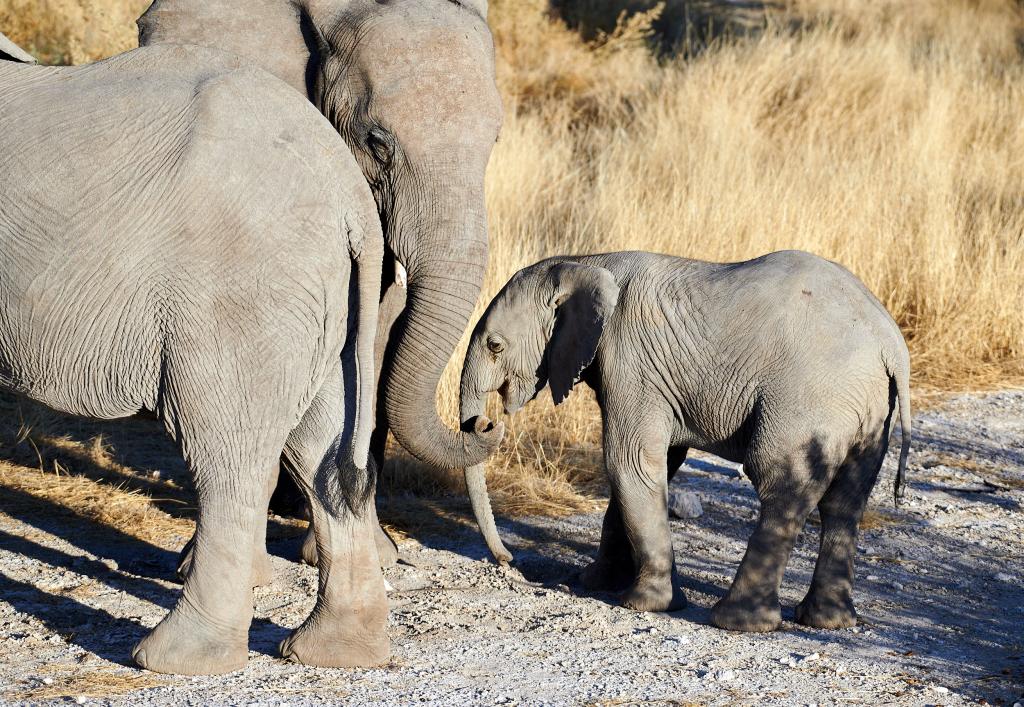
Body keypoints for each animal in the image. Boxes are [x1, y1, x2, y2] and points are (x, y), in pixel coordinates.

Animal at [460, 251, 909, 631]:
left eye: (495, 345)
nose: (509, 562)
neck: (583, 263)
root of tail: (891, 345)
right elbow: (656, 465)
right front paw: (593, 582)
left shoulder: (629, 359)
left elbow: (629, 461)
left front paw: (644, 604)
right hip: (868, 407)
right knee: (845, 500)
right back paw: (829, 621)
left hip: (809, 398)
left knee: (782, 486)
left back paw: (737, 622)